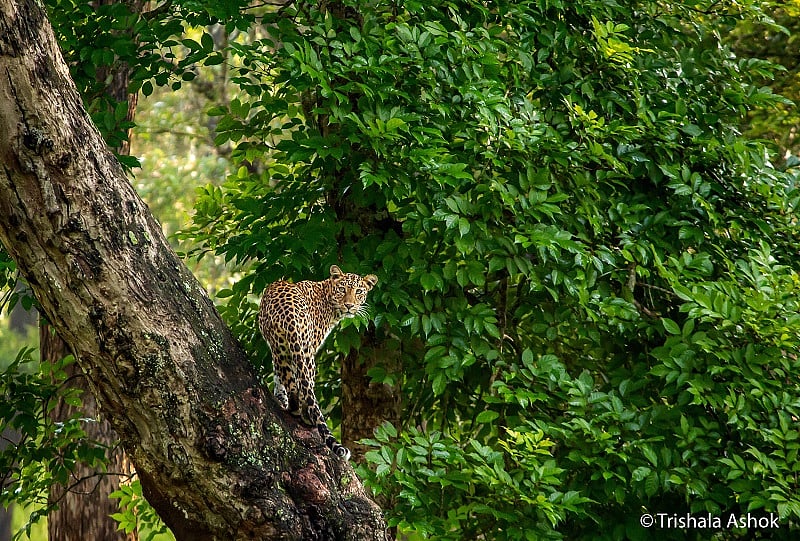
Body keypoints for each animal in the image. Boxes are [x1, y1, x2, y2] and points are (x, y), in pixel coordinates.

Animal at [258, 264, 378, 460]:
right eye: (342, 289)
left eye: (359, 291)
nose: (349, 305)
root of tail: (288, 311)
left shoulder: (277, 348)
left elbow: (277, 376)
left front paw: (279, 396)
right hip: (306, 352)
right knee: (303, 386)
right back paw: (306, 416)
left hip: (281, 346)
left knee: (289, 379)